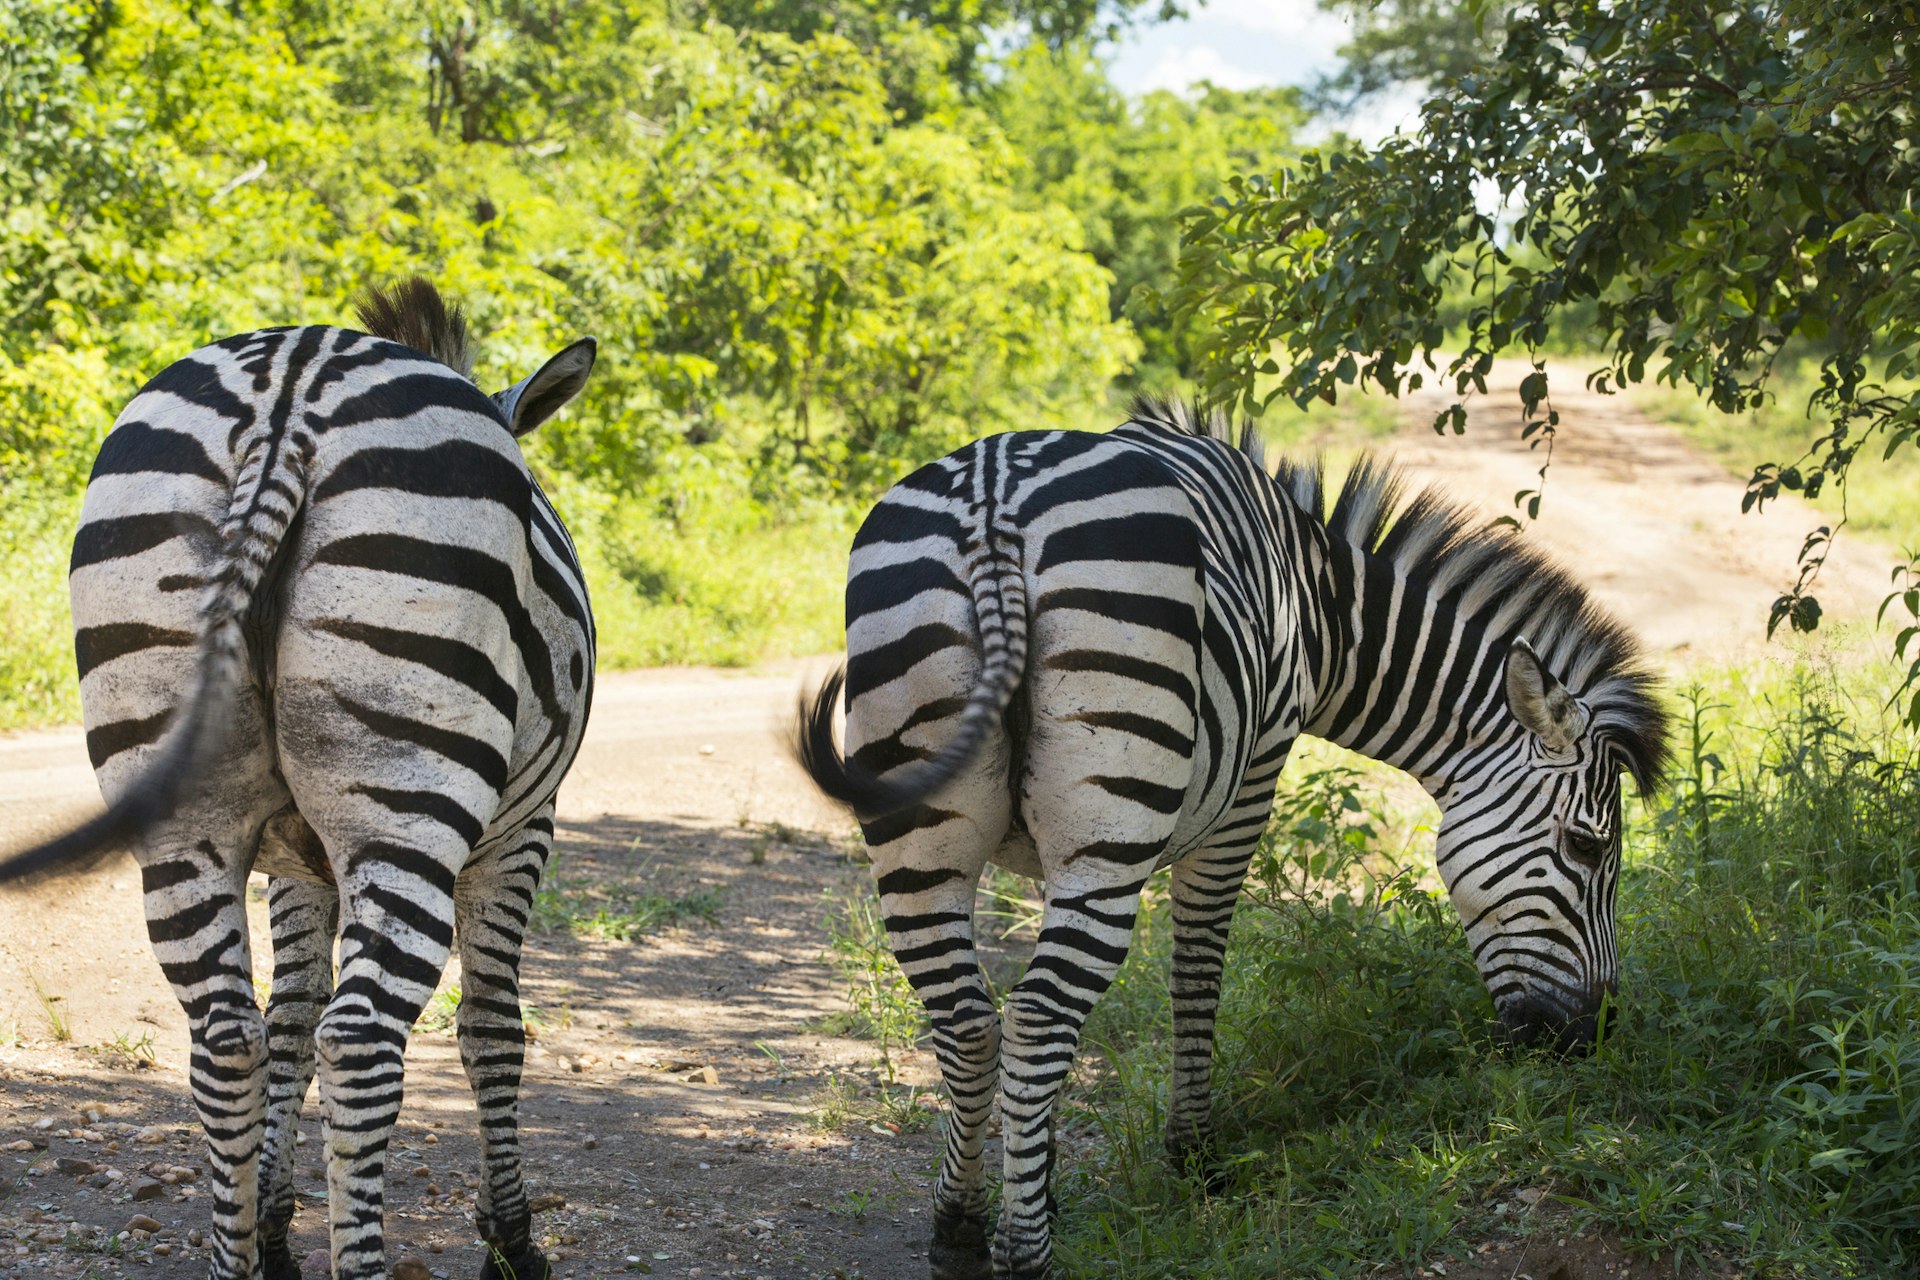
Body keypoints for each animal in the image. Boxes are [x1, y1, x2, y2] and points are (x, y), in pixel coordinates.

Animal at [0, 280, 595, 1280]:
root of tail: (291, 390)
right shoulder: (524, 832)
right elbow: (492, 1028)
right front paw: (512, 1243)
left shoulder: (292, 861)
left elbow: (287, 1024)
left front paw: (274, 1226)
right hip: (409, 808)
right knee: (358, 1045)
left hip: (184, 817)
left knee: (228, 1040)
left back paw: (235, 1258)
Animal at [794, 395, 1666, 1274]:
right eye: (1587, 848)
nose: (1589, 1040)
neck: (1321, 607)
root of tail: (993, 499)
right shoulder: (1252, 783)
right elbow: (1197, 969)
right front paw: (1193, 1156)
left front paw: (1043, 1178)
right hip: (1110, 824)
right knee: (1036, 1017)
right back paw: (1026, 1250)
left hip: (922, 835)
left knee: (970, 1020)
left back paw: (961, 1228)